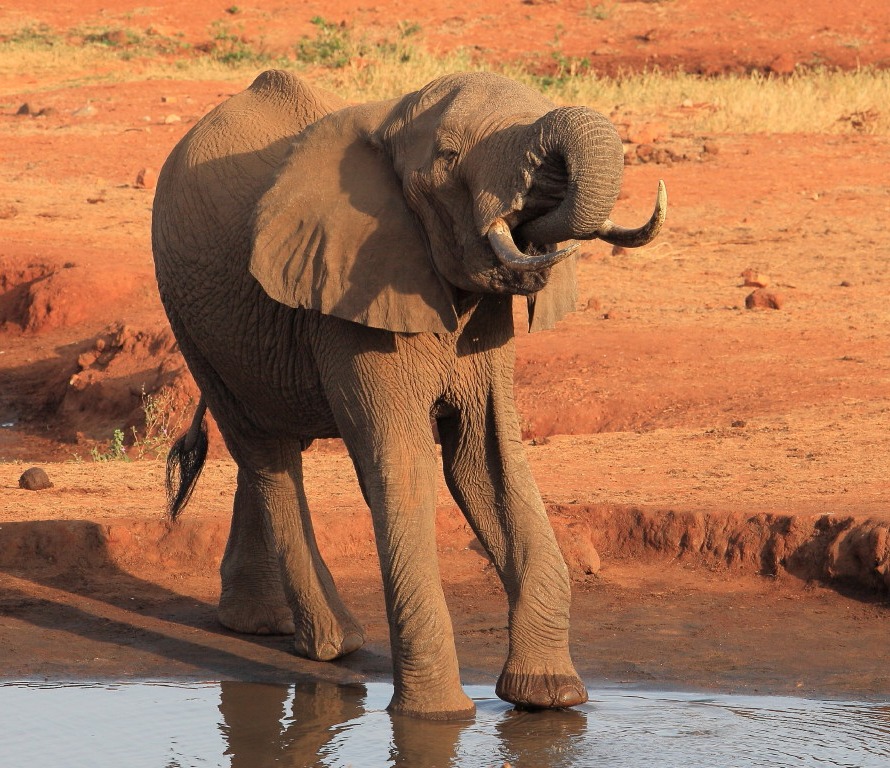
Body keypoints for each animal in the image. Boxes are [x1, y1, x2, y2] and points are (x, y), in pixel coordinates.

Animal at [153, 67, 664, 720]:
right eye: (447, 159)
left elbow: (486, 462)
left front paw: (551, 697)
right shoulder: (353, 295)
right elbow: (406, 464)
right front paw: (438, 718)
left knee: (274, 446)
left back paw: (261, 627)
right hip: (188, 315)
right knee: (265, 451)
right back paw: (333, 643)